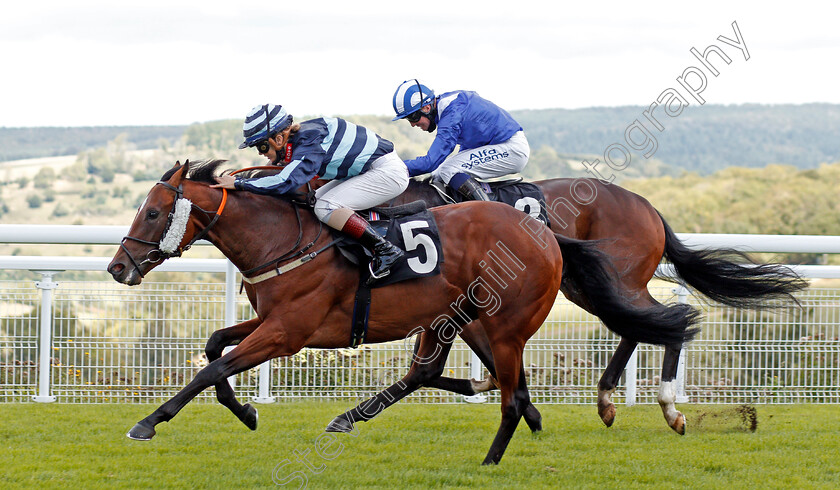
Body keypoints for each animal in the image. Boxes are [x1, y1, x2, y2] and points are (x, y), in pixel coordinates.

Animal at [110, 160, 704, 464]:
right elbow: (215, 347)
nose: (119, 267)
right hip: (472, 310)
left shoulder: (289, 331)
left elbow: (212, 366)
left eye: (154, 211)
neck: (285, 237)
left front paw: (148, 422)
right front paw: (247, 411)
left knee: (648, 323)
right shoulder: (272, 321)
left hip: (517, 314)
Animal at [336, 178, 808, 434]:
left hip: (616, 279)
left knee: (666, 321)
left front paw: (522, 408)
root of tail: (649, 206)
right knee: (643, 325)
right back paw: (606, 400)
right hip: (589, 286)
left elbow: (432, 369)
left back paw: (669, 407)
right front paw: (507, 397)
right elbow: (460, 366)